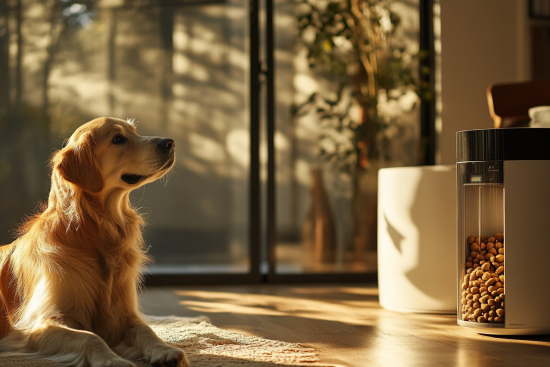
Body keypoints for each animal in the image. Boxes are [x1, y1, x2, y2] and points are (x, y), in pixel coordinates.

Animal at [0, 118, 189, 367]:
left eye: (135, 132)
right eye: (118, 139)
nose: (170, 143)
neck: (94, 232)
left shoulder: (123, 313)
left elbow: (145, 329)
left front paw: (164, 350)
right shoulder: (37, 325)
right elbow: (90, 337)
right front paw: (112, 360)